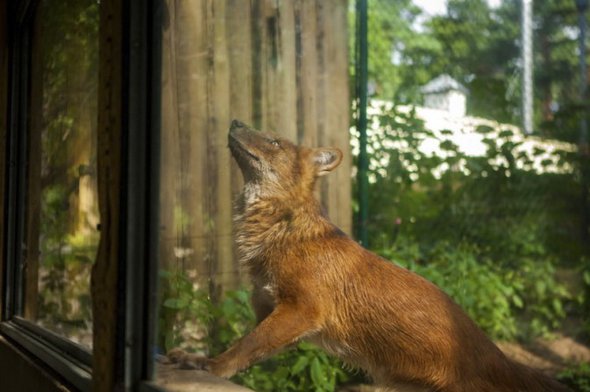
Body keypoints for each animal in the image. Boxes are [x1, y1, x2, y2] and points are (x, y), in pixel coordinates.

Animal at [168, 120, 572, 392]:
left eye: (274, 141)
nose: (235, 121)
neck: (280, 230)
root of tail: (497, 355)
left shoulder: (301, 310)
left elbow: (244, 347)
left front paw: (211, 368)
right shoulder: (270, 311)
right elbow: (246, 345)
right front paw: (196, 359)